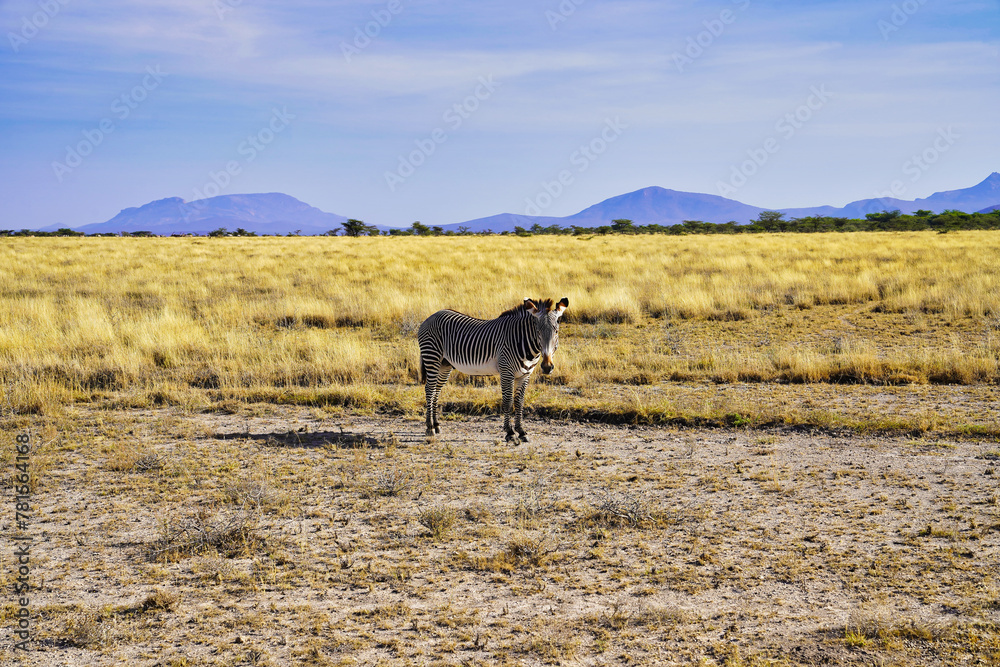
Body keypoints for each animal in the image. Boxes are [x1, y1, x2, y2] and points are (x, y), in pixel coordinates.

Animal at [418, 297, 569, 443]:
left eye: (556, 332)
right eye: (538, 332)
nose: (547, 366)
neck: (523, 343)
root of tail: (433, 315)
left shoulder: (524, 375)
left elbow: (519, 402)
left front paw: (521, 431)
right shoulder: (506, 372)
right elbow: (507, 402)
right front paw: (510, 433)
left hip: (445, 364)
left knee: (436, 391)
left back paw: (436, 425)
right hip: (432, 357)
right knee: (429, 389)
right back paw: (429, 427)